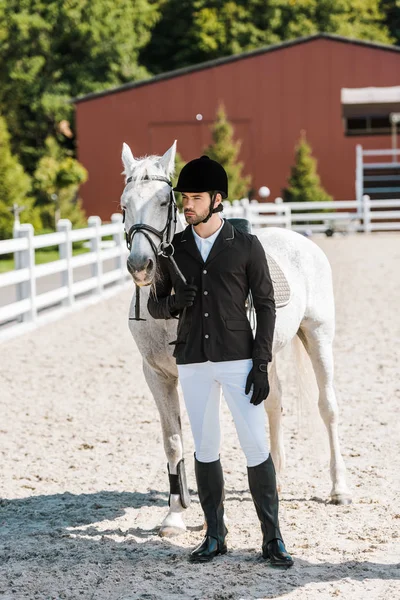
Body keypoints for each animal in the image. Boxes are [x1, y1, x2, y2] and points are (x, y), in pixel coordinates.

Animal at [120, 143, 352, 536]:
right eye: (124, 204)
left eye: (165, 201)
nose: (140, 266)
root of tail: (300, 240)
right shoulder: (157, 375)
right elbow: (174, 442)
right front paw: (175, 515)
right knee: (273, 404)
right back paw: (276, 478)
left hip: (318, 335)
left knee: (328, 407)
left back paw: (339, 489)